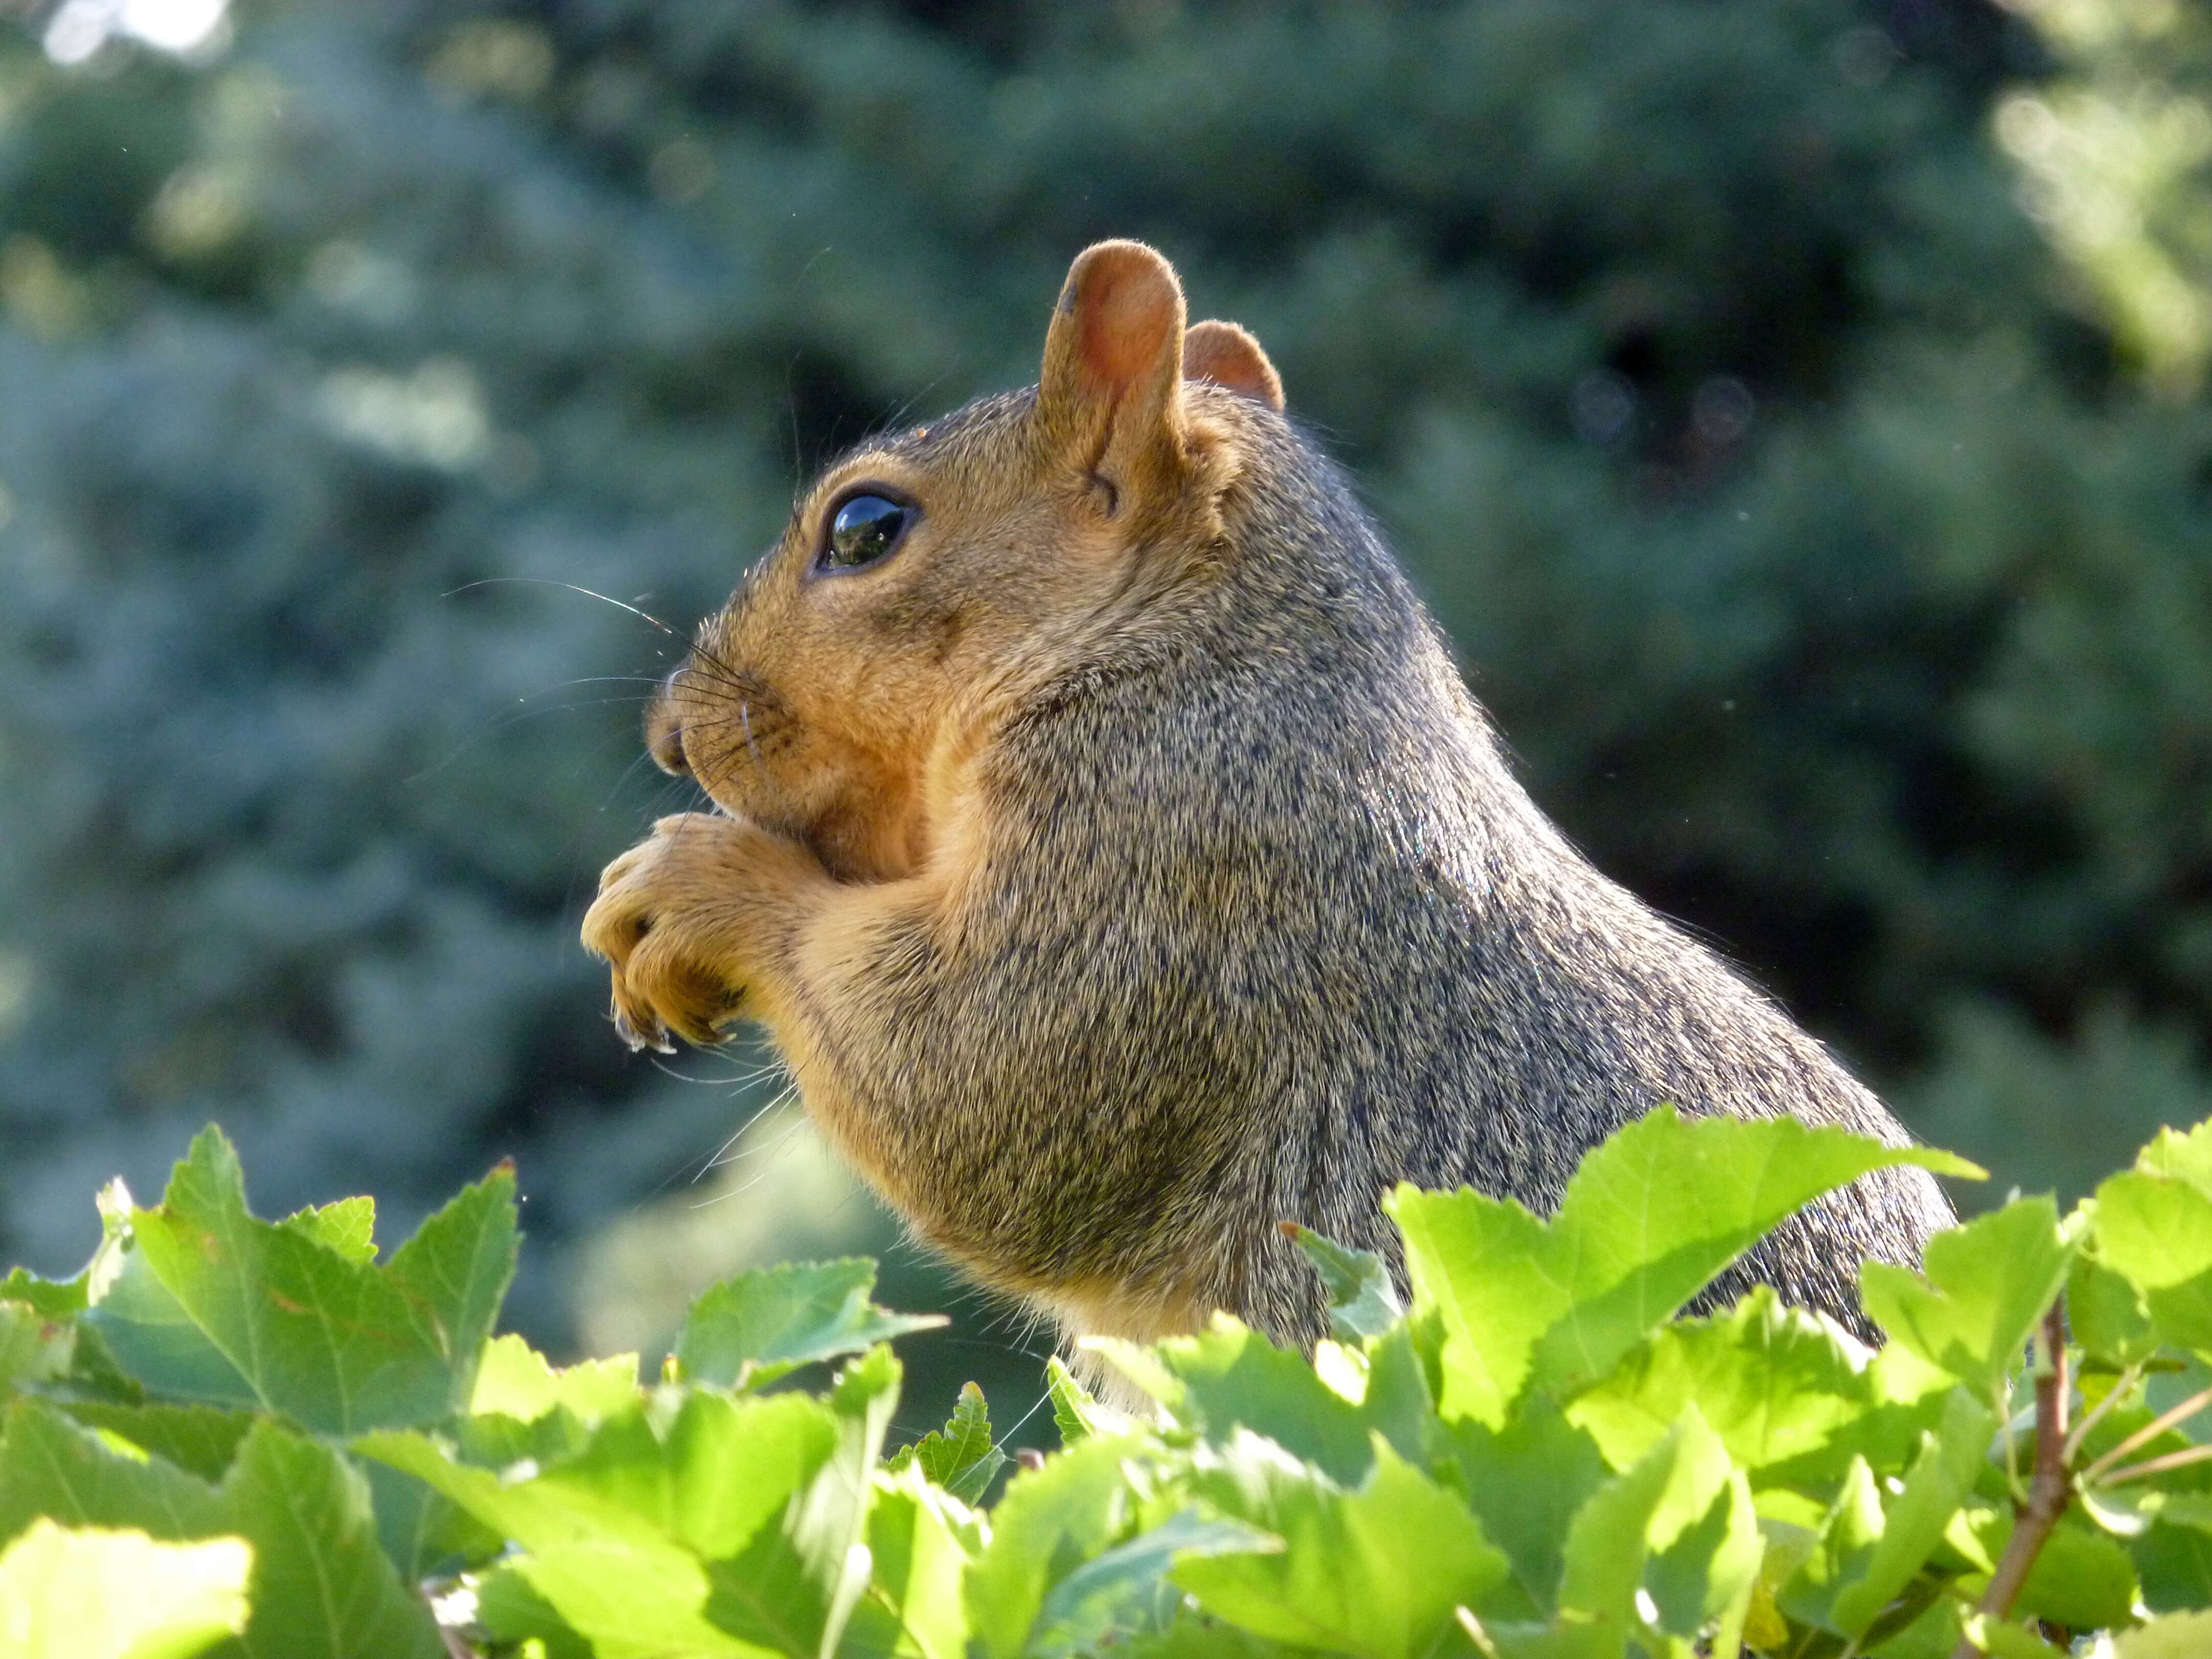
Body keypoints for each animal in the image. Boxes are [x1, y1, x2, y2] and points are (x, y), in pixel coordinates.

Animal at [579, 240, 1946, 1353]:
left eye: (866, 527)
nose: (667, 734)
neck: (1196, 655)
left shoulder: (1166, 847)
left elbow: (968, 1090)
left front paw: (691, 883)